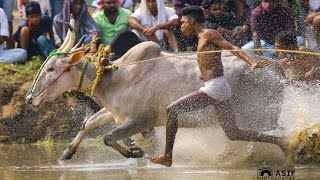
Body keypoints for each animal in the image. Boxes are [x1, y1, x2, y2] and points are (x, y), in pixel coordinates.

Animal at [26, 41, 284, 161]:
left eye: (51, 69)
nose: (30, 98)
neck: (114, 78)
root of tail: (275, 66)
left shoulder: (139, 121)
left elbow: (108, 137)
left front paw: (134, 152)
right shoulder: (115, 113)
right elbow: (89, 124)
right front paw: (67, 153)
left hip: (259, 114)